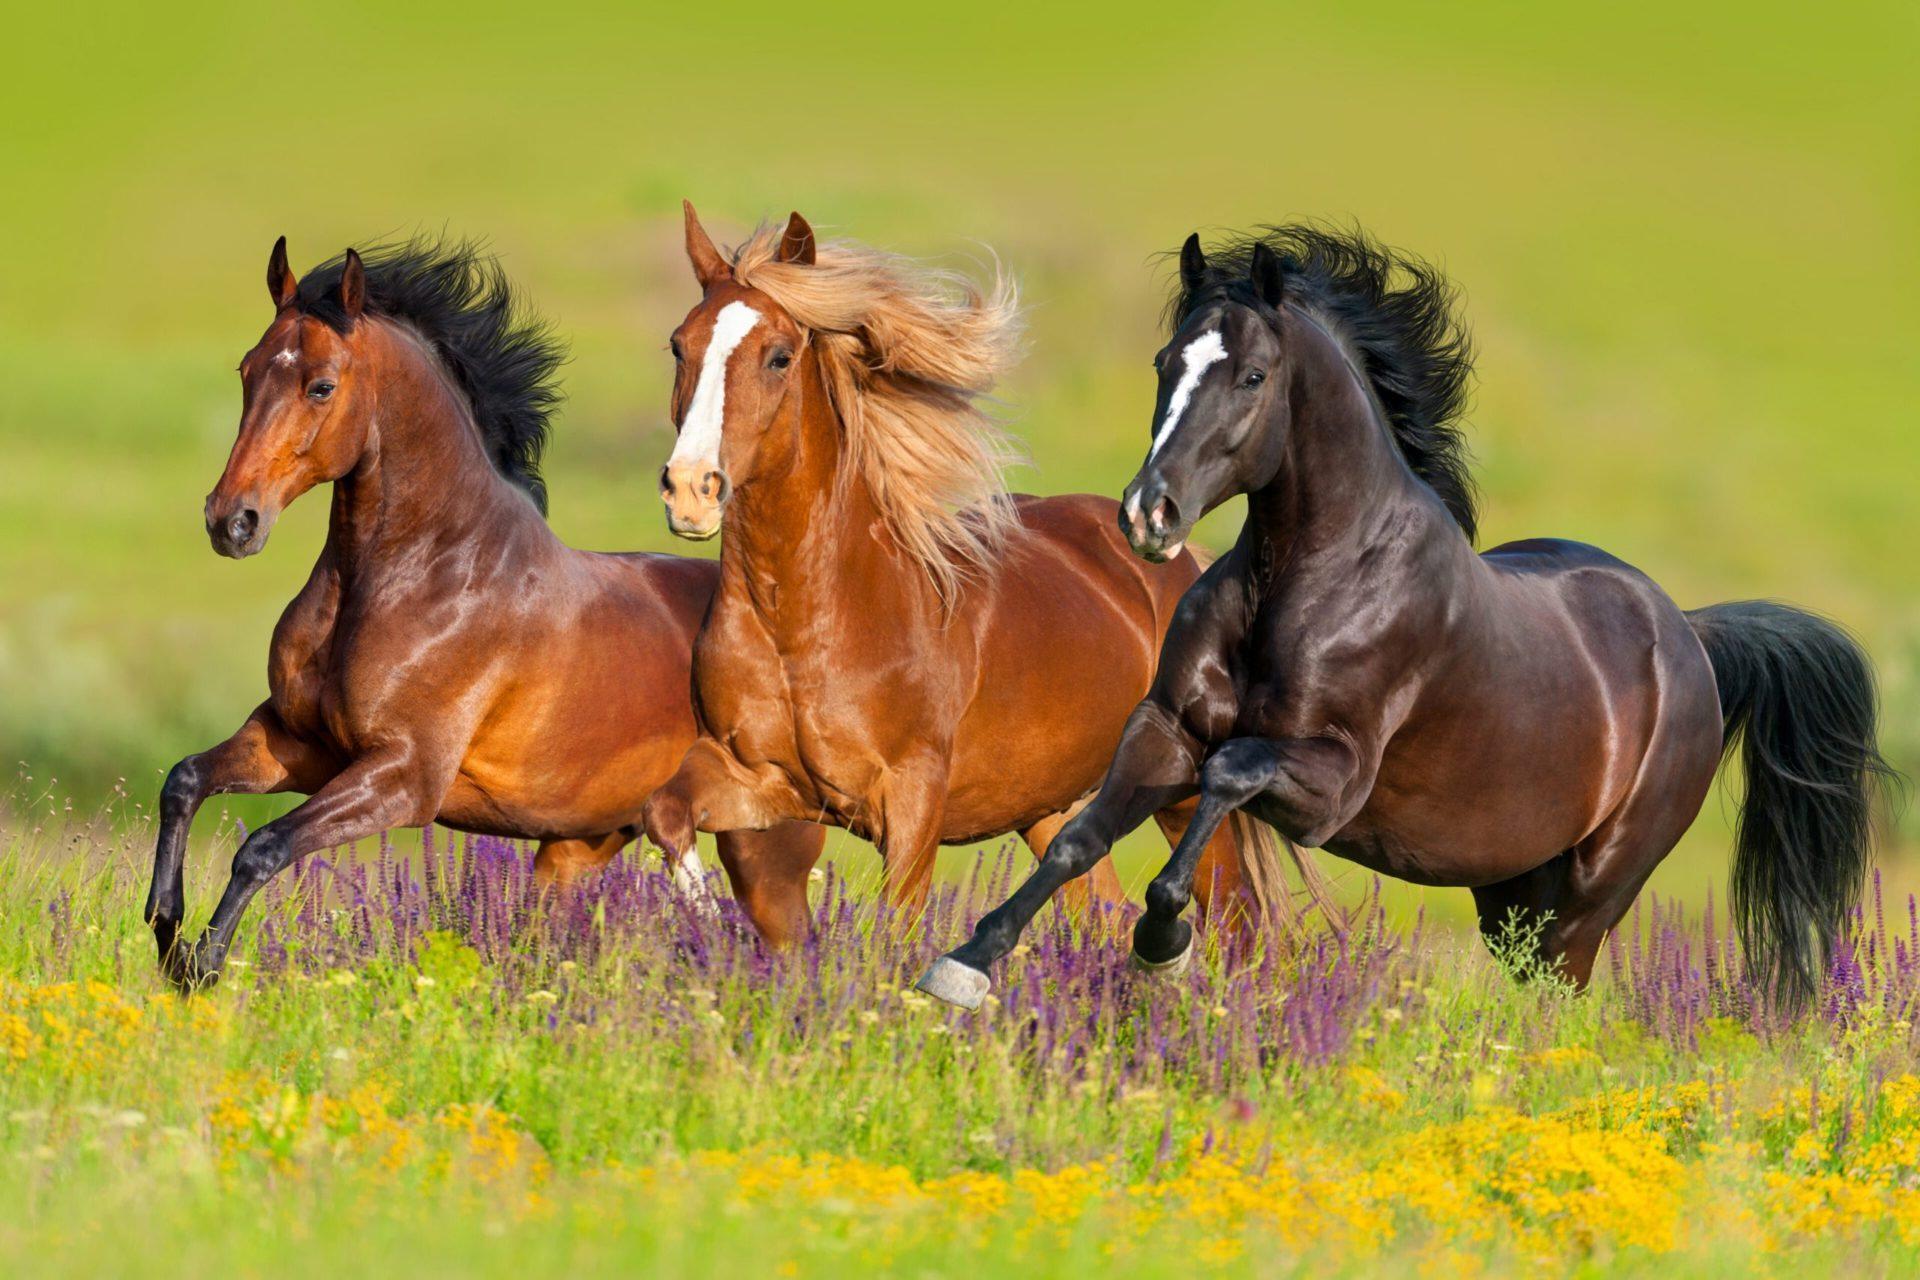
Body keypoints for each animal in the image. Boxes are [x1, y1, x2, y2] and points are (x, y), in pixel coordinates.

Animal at [146, 236, 822, 990]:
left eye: (320, 385)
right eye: (247, 370)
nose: (231, 521)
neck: (425, 575)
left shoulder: (403, 778)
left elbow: (262, 846)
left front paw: (200, 967)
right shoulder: (298, 743)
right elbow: (184, 781)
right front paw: (166, 930)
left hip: (763, 847)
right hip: (577, 847)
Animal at [639, 205, 1296, 966]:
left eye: (778, 356)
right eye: (679, 347)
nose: (691, 490)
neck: (804, 620)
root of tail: (1187, 566)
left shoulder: (911, 802)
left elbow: (895, 931)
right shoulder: (762, 778)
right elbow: (669, 814)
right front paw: (712, 928)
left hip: (1182, 791)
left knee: (1237, 922)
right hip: (1055, 808)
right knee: (1100, 909)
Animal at [921, 223, 1897, 1010]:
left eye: (1252, 375)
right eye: (1166, 364)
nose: (1147, 516)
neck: (1307, 581)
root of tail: (1690, 637)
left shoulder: (1328, 784)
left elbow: (1227, 776)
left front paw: (1162, 944)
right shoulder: (1164, 729)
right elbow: (1076, 839)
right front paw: (963, 965)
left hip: (1593, 893)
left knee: (1559, 996)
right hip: (1511, 892)